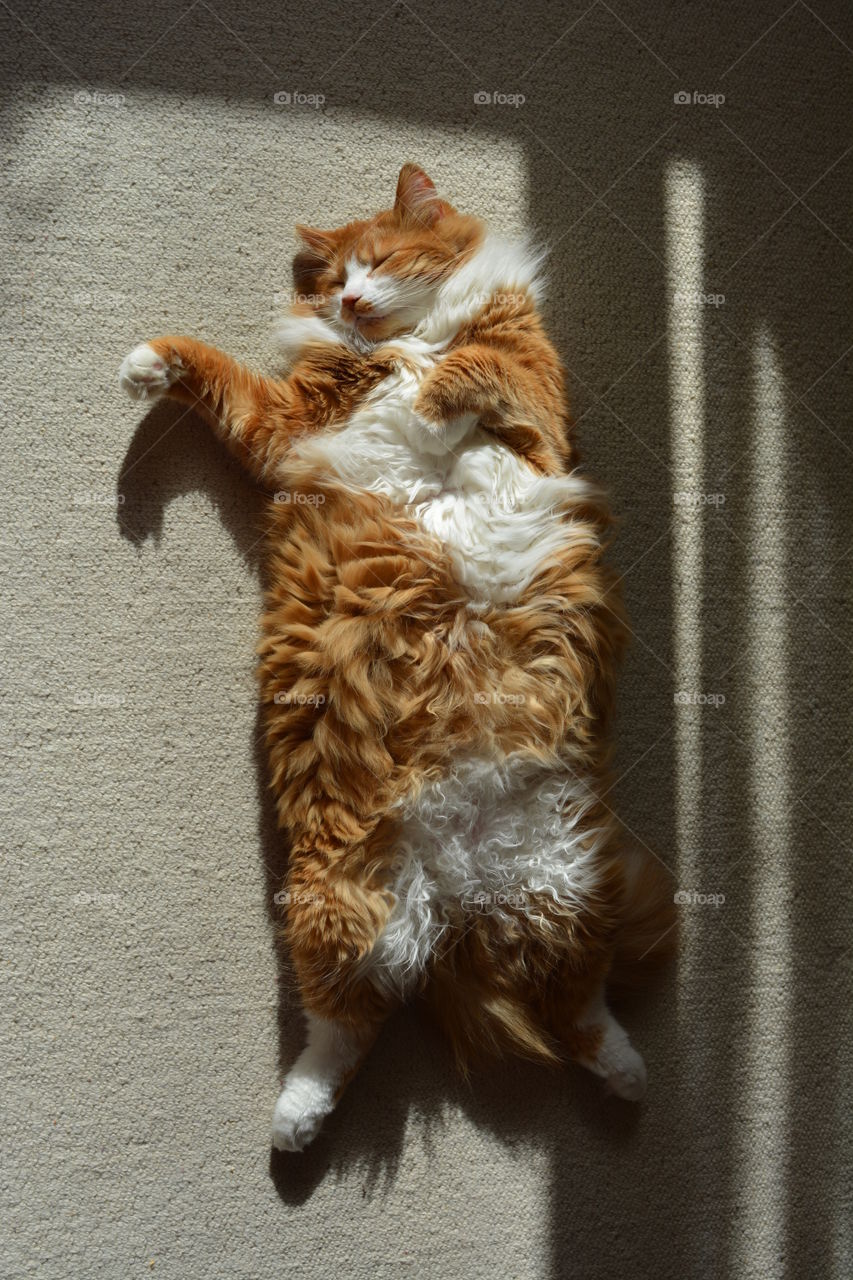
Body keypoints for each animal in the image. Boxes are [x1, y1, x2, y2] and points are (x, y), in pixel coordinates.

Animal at [119, 160, 676, 1152]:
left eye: (375, 261)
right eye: (331, 278)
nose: (347, 297)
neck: (403, 341)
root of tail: (456, 896)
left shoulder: (537, 409)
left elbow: (476, 368)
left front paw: (428, 397)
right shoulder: (285, 425)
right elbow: (213, 369)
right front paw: (147, 363)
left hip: (562, 884)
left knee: (575, 1007)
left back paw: (626, 1077)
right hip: (341, 902)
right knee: (350, 1028)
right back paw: (294, 1120)